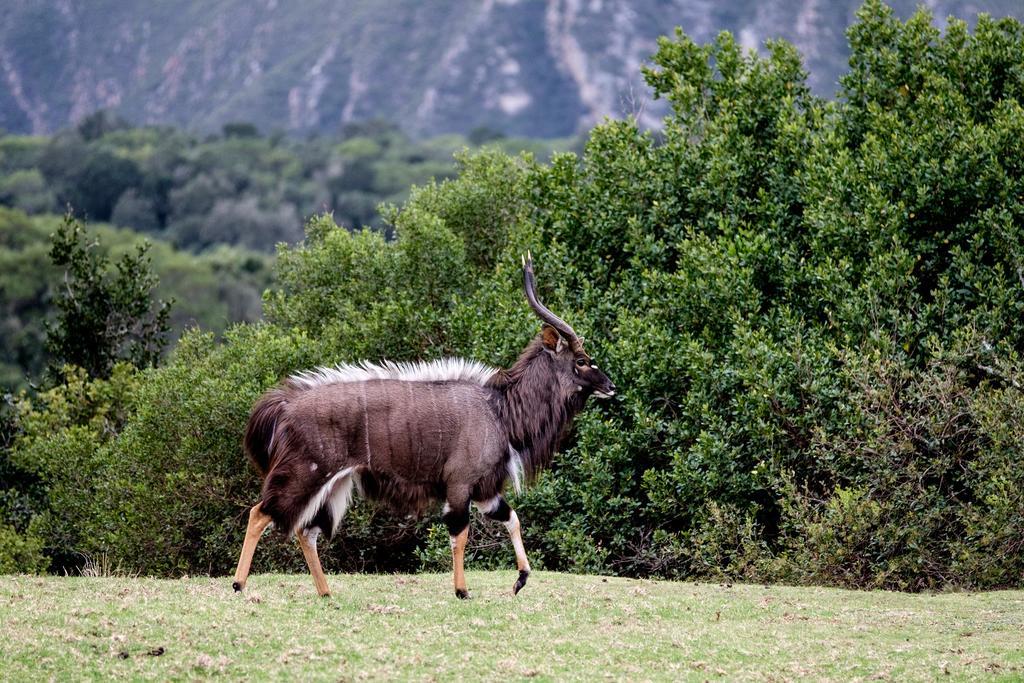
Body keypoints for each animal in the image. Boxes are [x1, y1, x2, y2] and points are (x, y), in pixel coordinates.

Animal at [234, 252, 614, 598]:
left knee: (306, 530)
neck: (500, 410)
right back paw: (240, 586)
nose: (611, 386)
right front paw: (462, 590)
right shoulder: (460, 485)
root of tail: (287, 405)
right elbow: (460, 534)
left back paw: (326, 593)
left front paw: (520, 579)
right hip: (305, 473)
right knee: (260, 513)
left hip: (335, 484)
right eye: (582, 360)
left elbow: (512, 518)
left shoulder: (486, 491)